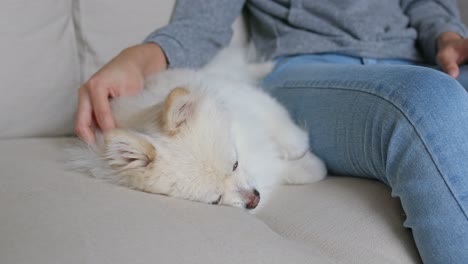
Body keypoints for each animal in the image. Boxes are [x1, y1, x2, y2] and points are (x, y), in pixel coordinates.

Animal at [67, 48, 328, 210]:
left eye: (235, 164)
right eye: (216, 199)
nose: (254, 200)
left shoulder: (247, 99)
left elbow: (278, 122)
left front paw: (298, 147)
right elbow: (289, 170)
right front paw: (313, 167)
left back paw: (267, 66)